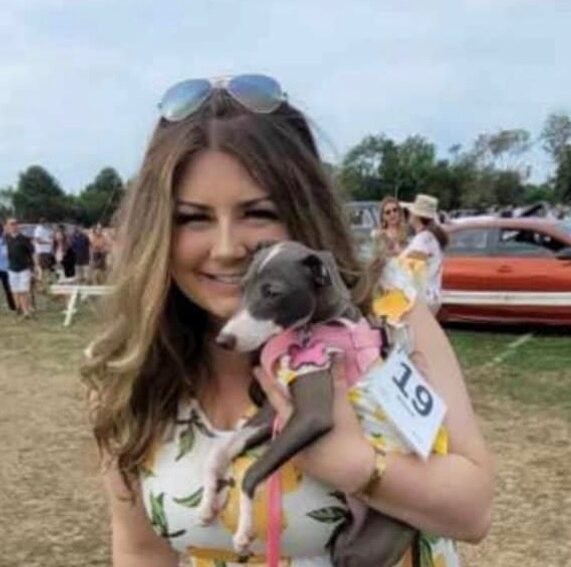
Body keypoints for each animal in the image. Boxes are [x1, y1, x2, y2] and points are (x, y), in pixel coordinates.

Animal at [199, 241, 418, 567]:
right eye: (242, 286)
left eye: (272, 292)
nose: (224, 340)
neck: (315, 325)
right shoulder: (275, 409)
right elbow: (221, 449)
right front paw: (206, 502)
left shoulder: (311, 415)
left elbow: (251, 474)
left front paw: (243, 531)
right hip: (343, 543)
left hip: (374, 544)